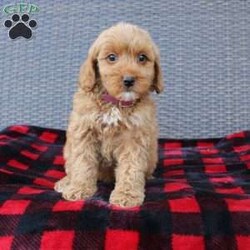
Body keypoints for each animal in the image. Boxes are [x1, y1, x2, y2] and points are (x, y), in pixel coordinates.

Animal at [54, 23, 164, 207]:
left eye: (142, 58)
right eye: (111, 57)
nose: (129, 80)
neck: (115, 103)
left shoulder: (134, 138)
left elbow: (130, 168)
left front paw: (127, 195)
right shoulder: (84, 132)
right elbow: (82, 163)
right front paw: (79, 188)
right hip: (67, 149)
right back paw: (66, 182)